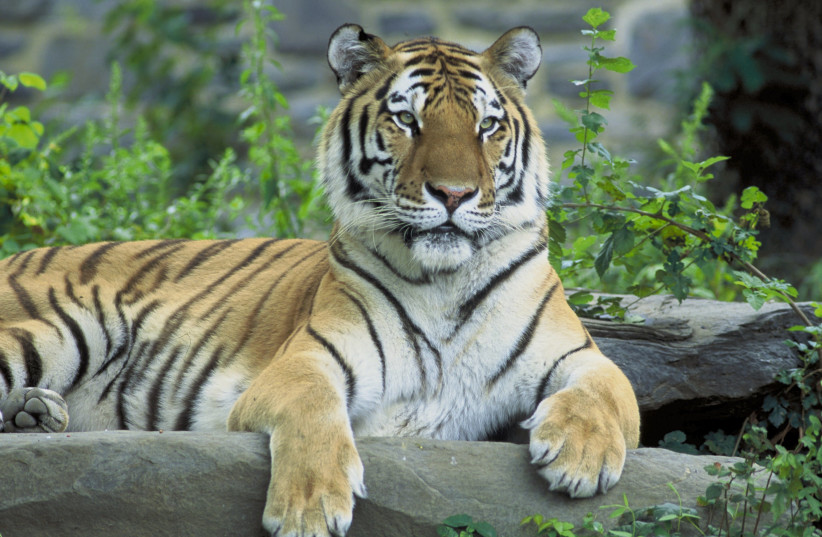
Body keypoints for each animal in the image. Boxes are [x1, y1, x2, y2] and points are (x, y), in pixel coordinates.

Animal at [0, 24, 640, 537]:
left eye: (486, 126)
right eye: (407, 119)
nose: (454, 194)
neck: (445, 281)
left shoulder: (576, 352)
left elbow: (611, 388)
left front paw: (581, 458)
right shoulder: (307, 359)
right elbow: (313, 409)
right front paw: (309, 509)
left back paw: (35, 413)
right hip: (72, 326)